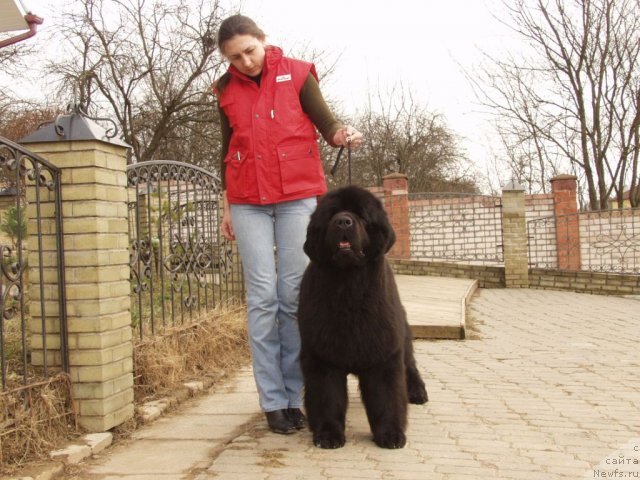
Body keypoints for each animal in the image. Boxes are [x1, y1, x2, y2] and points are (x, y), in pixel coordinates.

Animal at [298, 186, 428, 448]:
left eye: (360, 215)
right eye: (331, 215)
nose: (343, 221)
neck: (349, 288)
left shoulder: (384, 353)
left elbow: (387, 396)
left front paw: (390, 435)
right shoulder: (321, 356)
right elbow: (327, 397)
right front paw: (328, 435)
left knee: (409, 364)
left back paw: (418, 391)